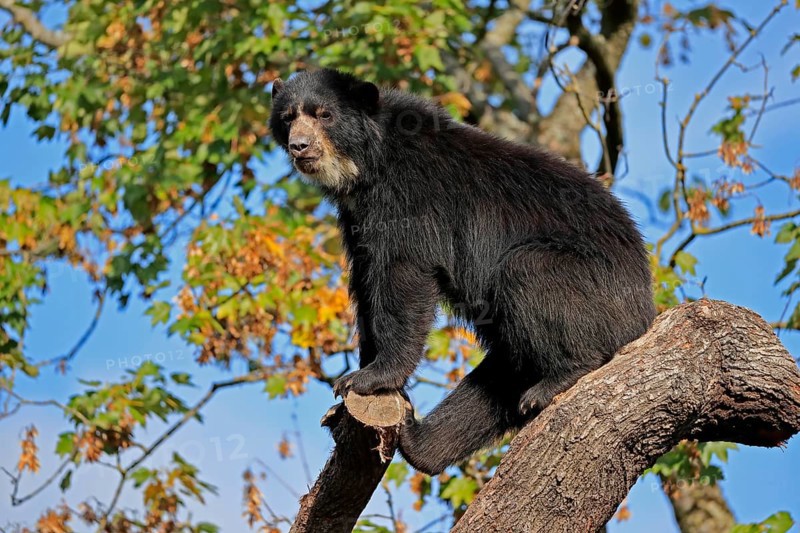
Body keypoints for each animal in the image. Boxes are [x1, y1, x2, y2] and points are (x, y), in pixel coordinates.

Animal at [269, 69, 656, 475]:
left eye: (324, 114)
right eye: (288, 118)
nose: (299, 146)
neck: (367, 170)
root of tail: (645, 307)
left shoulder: (410, 199)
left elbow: (404, 276)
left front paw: (367, 378)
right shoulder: (357, 219)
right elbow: (365, 285)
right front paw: (342, 405)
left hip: (590, 285)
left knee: (529, 275)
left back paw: (556, 382)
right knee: (496, 382)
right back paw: (417, 440)